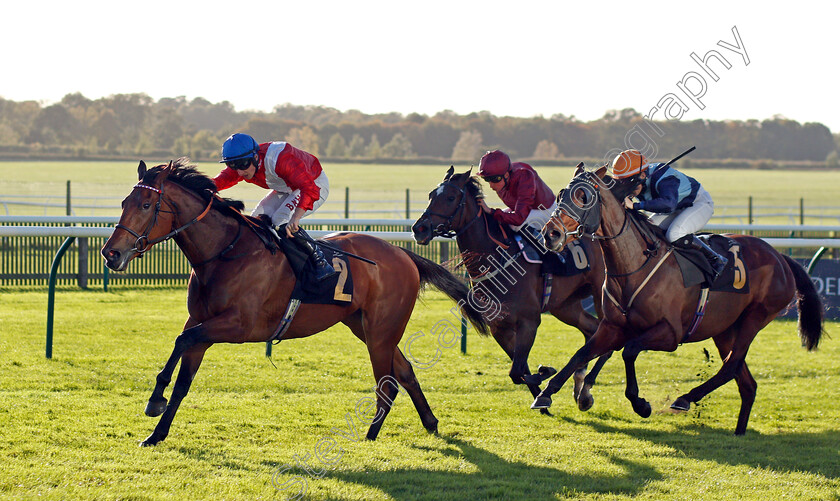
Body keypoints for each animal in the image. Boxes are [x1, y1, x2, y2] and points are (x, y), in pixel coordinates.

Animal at [101, 157, 488, 446]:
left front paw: (154, 401)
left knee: (387, 381)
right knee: (405, 371)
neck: (225, 251)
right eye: (123, 203)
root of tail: (404, 253)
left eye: (147, 204)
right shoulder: (200, 322)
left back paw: (371, 432)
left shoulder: (238, 326)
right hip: (364, 326)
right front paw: (156, 431)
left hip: (380, 331)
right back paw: (430, 422)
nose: (111, 253)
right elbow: (183, 374)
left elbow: (182, 341)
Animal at [412, 168, 612, 410]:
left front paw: (545, 375)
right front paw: (542, 391)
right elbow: (519, 371)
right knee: (591, 330)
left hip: (600, 295)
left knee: (607, 339)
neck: (497, 259)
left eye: (450, 197)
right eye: (431, 195)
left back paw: (585, 392)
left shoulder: (529, 322)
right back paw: (580, 384)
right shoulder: (499, 326)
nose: (419, 229)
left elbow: (517, 370)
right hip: (565, 306)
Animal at [532, 164, 820, 434]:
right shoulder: (612, 327)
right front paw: (546, 394)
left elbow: (629, 351)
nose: (550, 234)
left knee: (732, 365)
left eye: (584, 197)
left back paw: (685, 399)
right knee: (746, 381)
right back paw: (738, 432)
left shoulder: (670, 333)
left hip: (755, 318)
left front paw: (640, 404)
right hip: (724, 329)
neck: (634, 265)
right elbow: (581, 354)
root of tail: (781, 257)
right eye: (561, 195)